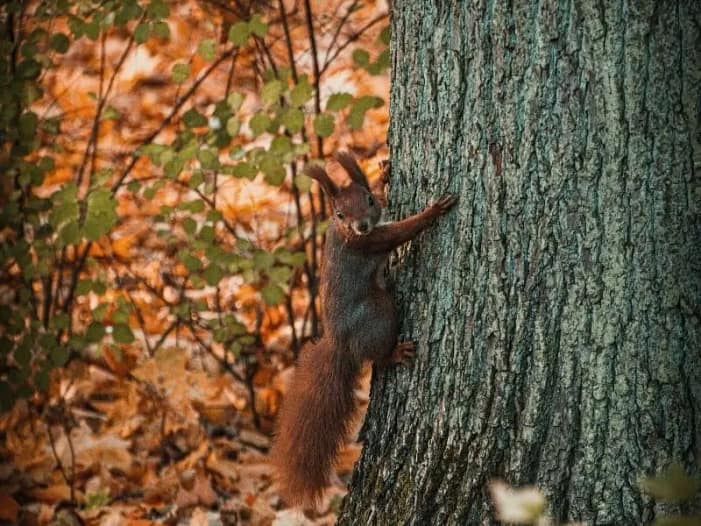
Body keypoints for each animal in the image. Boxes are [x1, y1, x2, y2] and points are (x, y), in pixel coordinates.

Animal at [270, 152, 457, 507]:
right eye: (339, 213)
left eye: (368, 199)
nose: (361, 226)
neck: (347, 232)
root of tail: (341, 343)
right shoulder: (371, 242)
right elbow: (402, 230)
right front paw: (432, 211)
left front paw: (383, 175)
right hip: (380, 313)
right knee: (378, 356)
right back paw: (395, 354)